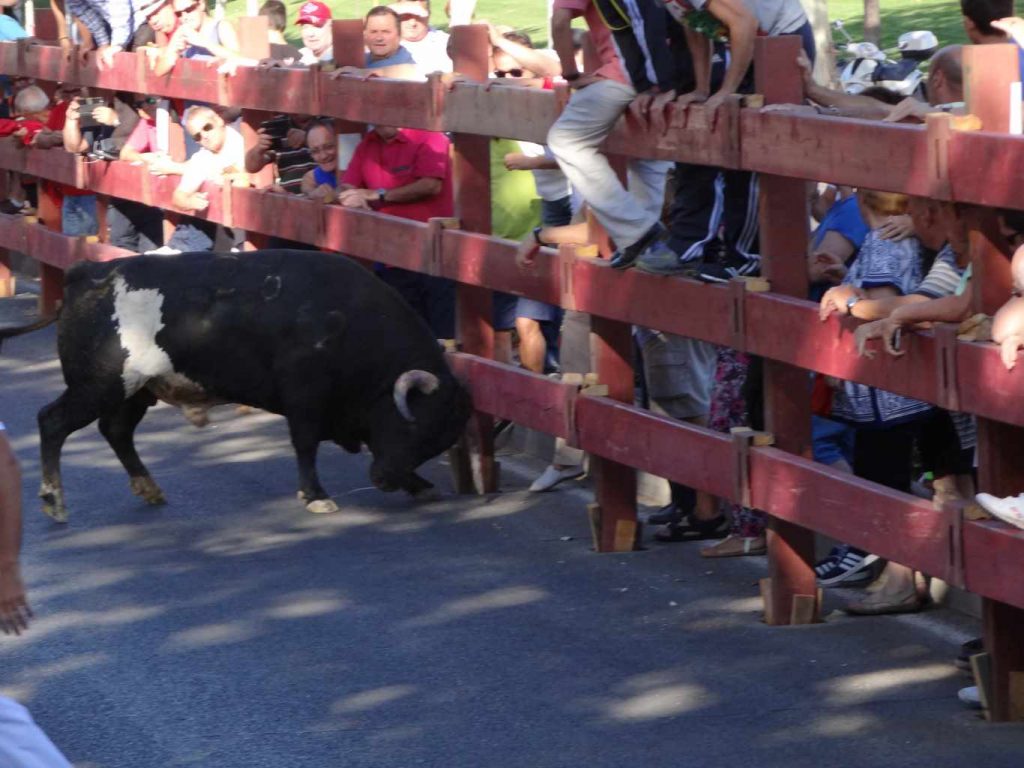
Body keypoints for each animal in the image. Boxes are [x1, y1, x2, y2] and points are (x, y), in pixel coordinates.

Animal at [9, 252, 471, 524]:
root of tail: (89, 272)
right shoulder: (305, 396)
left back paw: (149, 488)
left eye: (436, 440)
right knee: (53, 422)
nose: (385, 480)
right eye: (413, 425)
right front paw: (315, 495)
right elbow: (306, 444)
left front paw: (420, 485)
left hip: (134, 391)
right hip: (98, 386)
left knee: (116, 431)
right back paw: (54, 500)